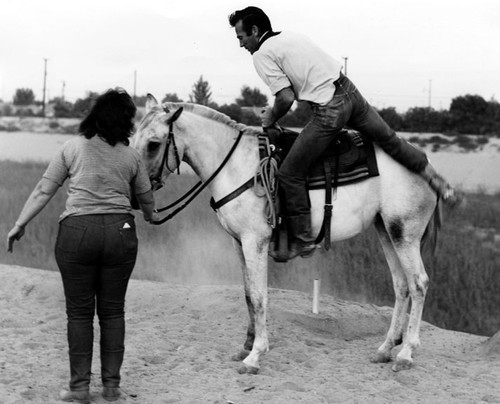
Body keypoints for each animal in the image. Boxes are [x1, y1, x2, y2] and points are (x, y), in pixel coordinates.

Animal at [134, 94, 442, 372]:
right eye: (133, 138)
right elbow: (248, 293)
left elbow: (260, 296)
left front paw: (256, 355)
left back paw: (406, 353)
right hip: (386, 231)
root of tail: (427, 168)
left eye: (153, 144)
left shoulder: (255, 242)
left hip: (405, 233)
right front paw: (246, 345)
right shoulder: (238, 243)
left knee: (418, 284)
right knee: (401, 285)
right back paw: (386, 348)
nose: (138, 194)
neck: (236, 166)